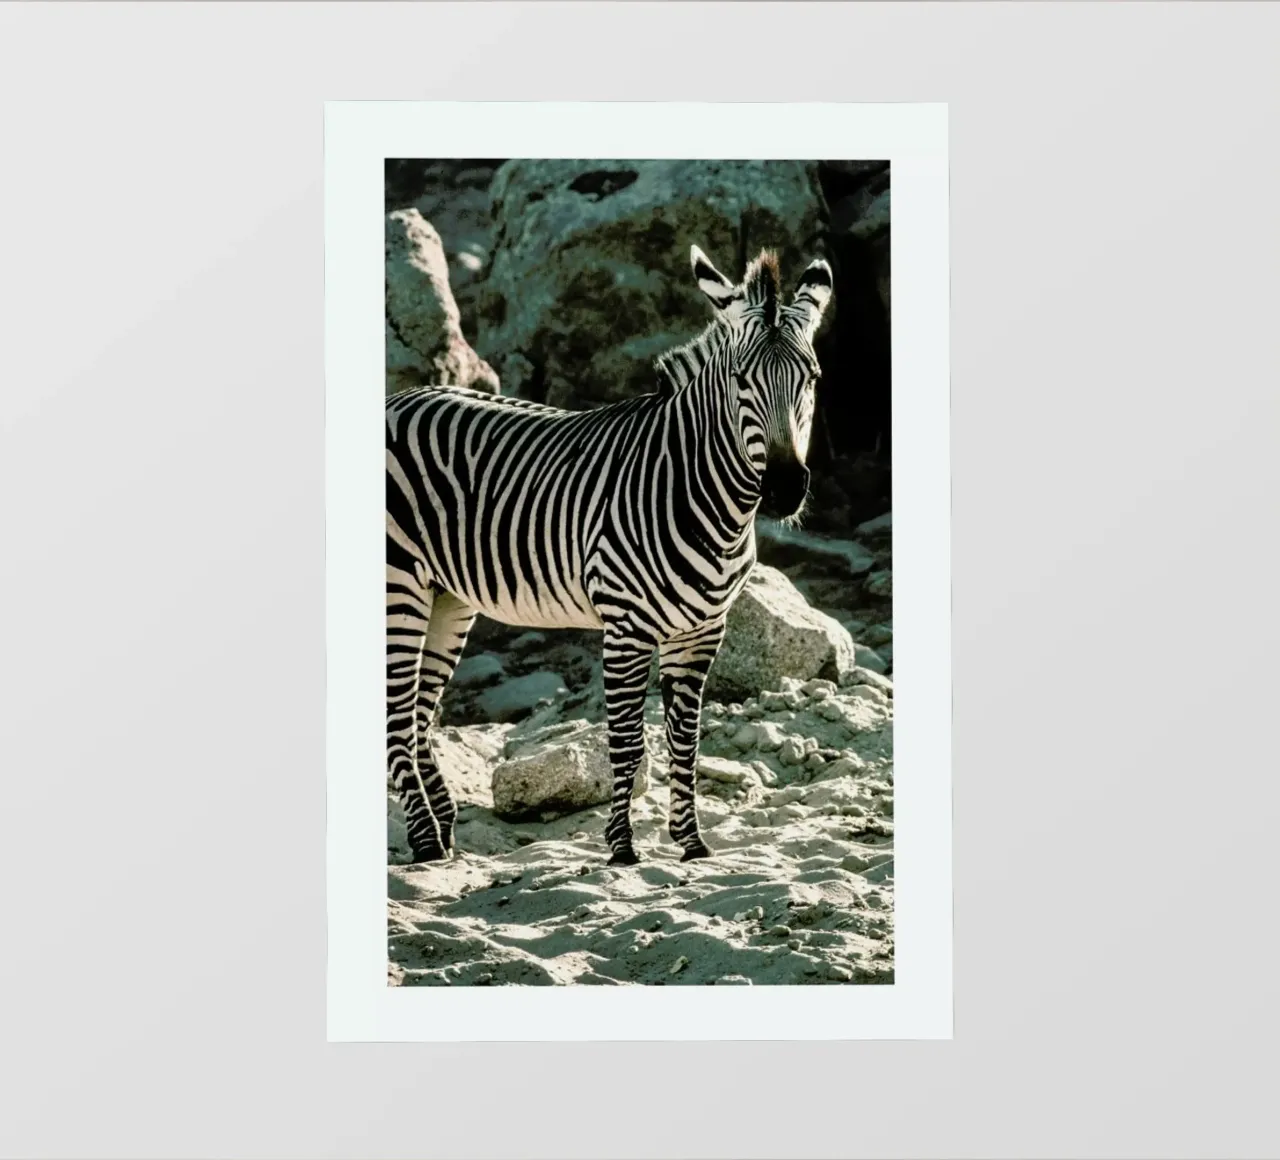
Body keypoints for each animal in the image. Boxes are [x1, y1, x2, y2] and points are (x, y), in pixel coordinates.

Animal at [387, 243, 833, 865]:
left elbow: (686, 740)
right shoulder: (626, 626)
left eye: (811, 377)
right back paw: (427, 842)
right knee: (396, 715)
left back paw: (442, 831)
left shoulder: (704, 630)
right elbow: (627, 740)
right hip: (398, 583)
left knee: (419, 713)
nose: (786, 489)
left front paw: (691, 842)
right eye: (740, 378)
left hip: (446, 596)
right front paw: (622, 847)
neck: (699, 492)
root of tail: (398, 398)